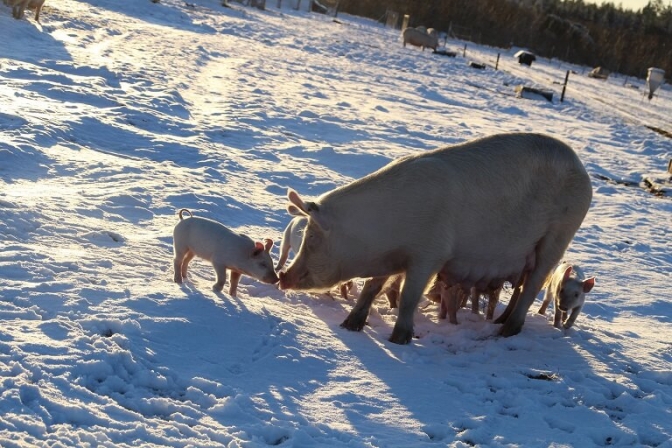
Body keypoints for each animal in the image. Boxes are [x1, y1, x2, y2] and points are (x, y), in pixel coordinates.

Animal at [278, 133, 592, 344]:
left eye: (312, 237)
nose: (282, 277)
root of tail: (582, 168)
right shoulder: (392, 257)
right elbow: (371, 287)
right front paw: (349, 325)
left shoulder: (431, 253)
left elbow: (408, 297)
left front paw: (399, 339)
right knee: (522, 285)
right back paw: (500, 323)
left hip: (559, 236)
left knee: (532, 286)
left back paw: (505, 333)